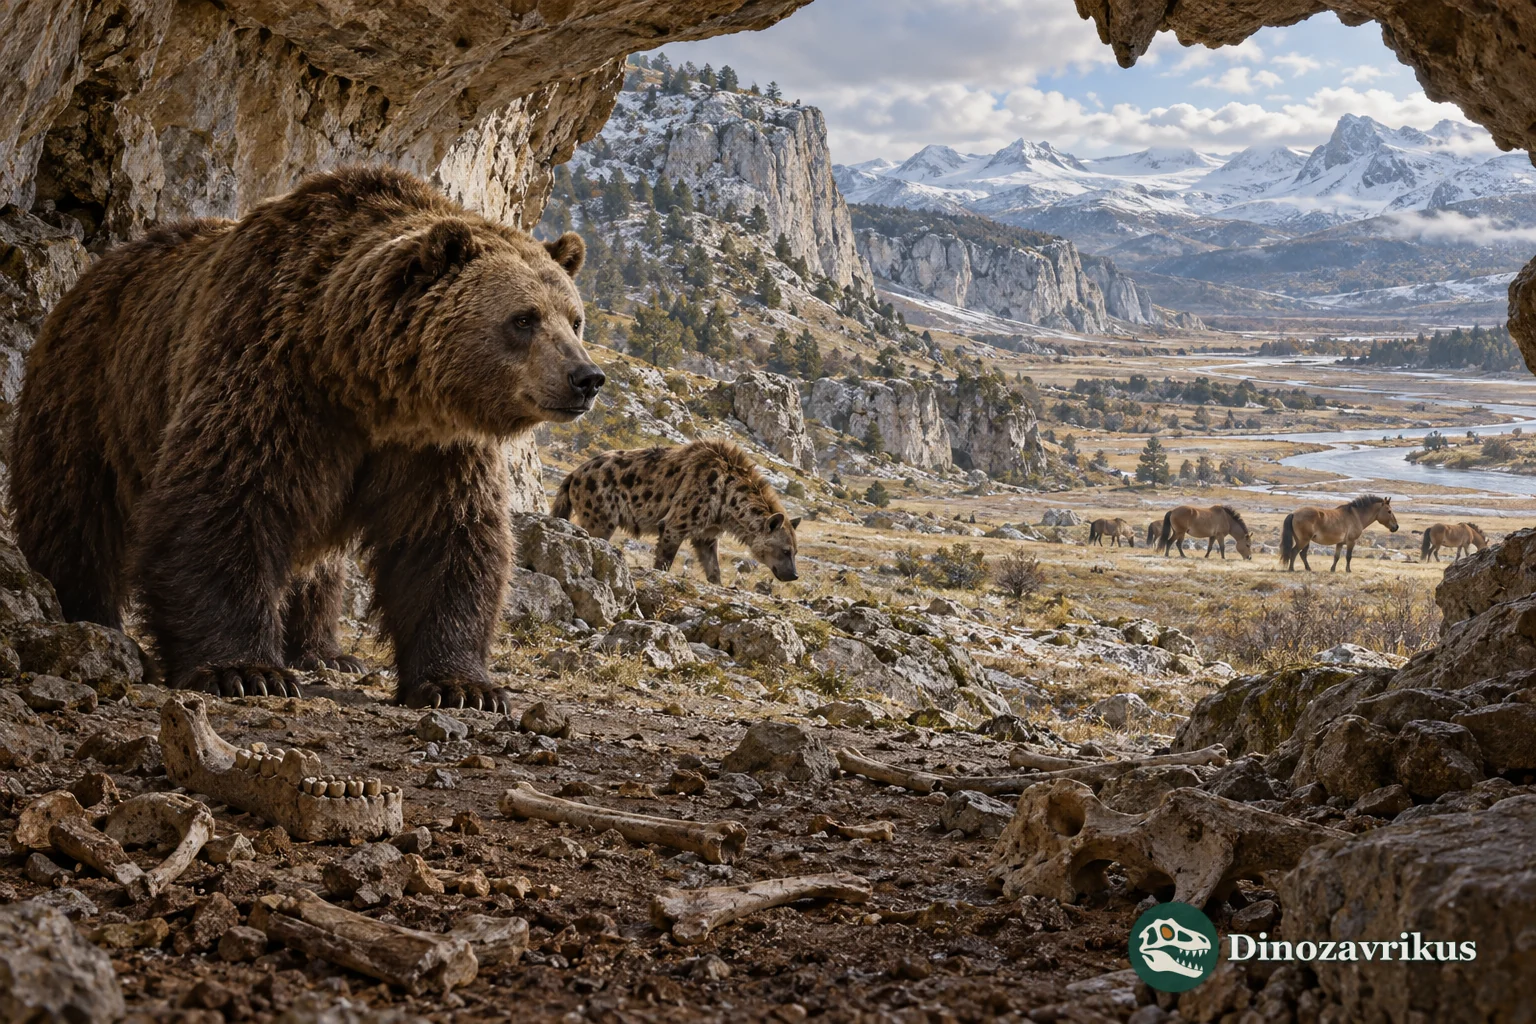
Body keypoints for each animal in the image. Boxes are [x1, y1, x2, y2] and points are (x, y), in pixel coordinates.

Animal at [10, 166, 606, 712]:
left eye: (574, 319)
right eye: (524, 318)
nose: (587, 378)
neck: (363, 382)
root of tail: (96, 270)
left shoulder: (434, 448)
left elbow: (446, 541)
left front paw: (463, 686)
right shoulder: (270, 381)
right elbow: (223, 506)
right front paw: (246, 670)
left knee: (318, 566)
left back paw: (324, 651)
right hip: (92, 392)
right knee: (75, 512)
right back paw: (85, 613)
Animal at [552, 440, 800, 585]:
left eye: (795, 552)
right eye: (785, 551)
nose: (794, 575)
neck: (727, 501)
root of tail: (574, 473)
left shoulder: (707, 533)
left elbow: (713, 568)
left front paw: (717, 584)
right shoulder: (676, 521)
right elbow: (664, 561)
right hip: (601, 515)